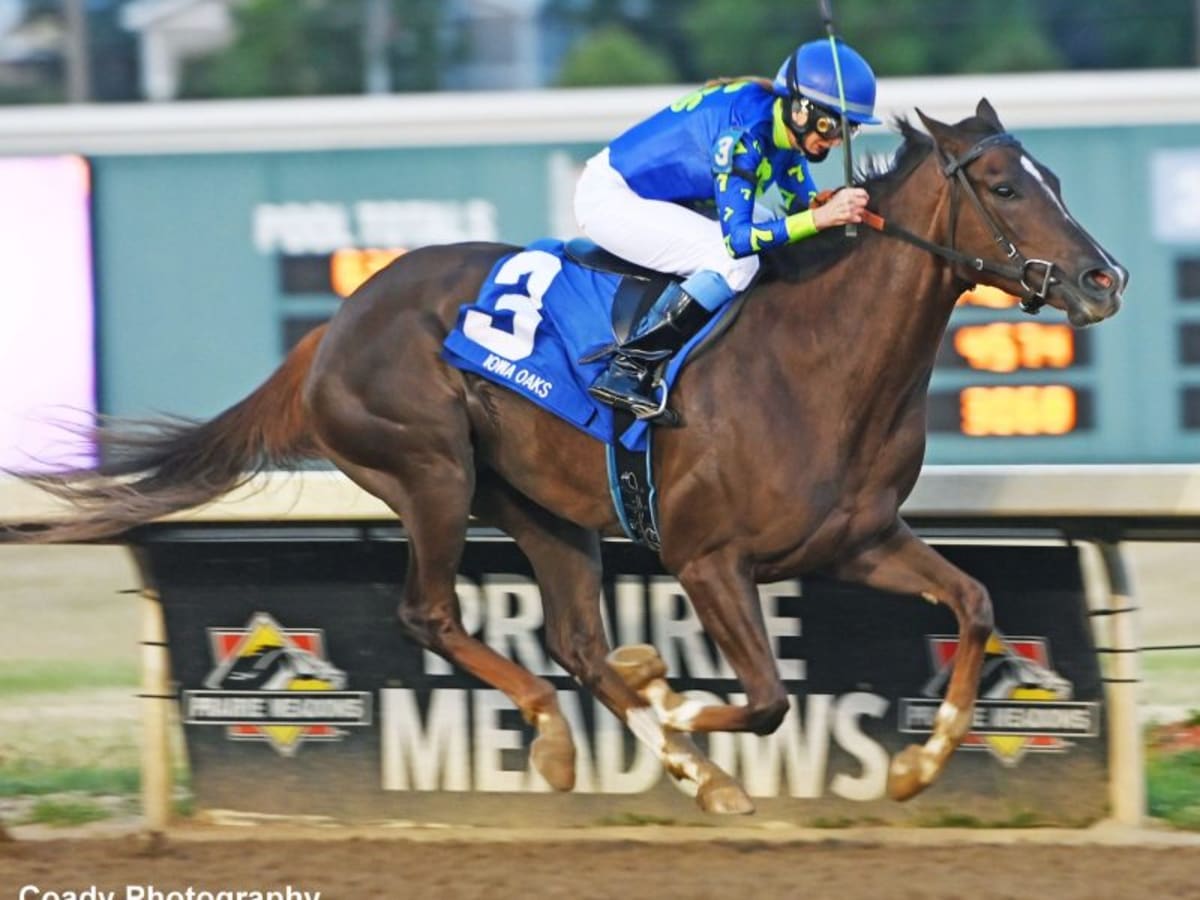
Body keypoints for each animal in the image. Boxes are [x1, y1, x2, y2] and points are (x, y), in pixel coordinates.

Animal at [16, 99, 1126, 813]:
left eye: (1056, 179)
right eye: (1000, 184)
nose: (1101, 278)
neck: (818, 359)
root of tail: (333, 326)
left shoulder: (853, 540)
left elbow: (973, 604)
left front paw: (911, 769)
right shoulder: (706, 558)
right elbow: (766, 699)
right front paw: (681, 700)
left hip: (539, 504)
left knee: (581, 643)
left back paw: (663, 757)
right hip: (433, 470)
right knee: (436, 613)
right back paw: (573, 739)